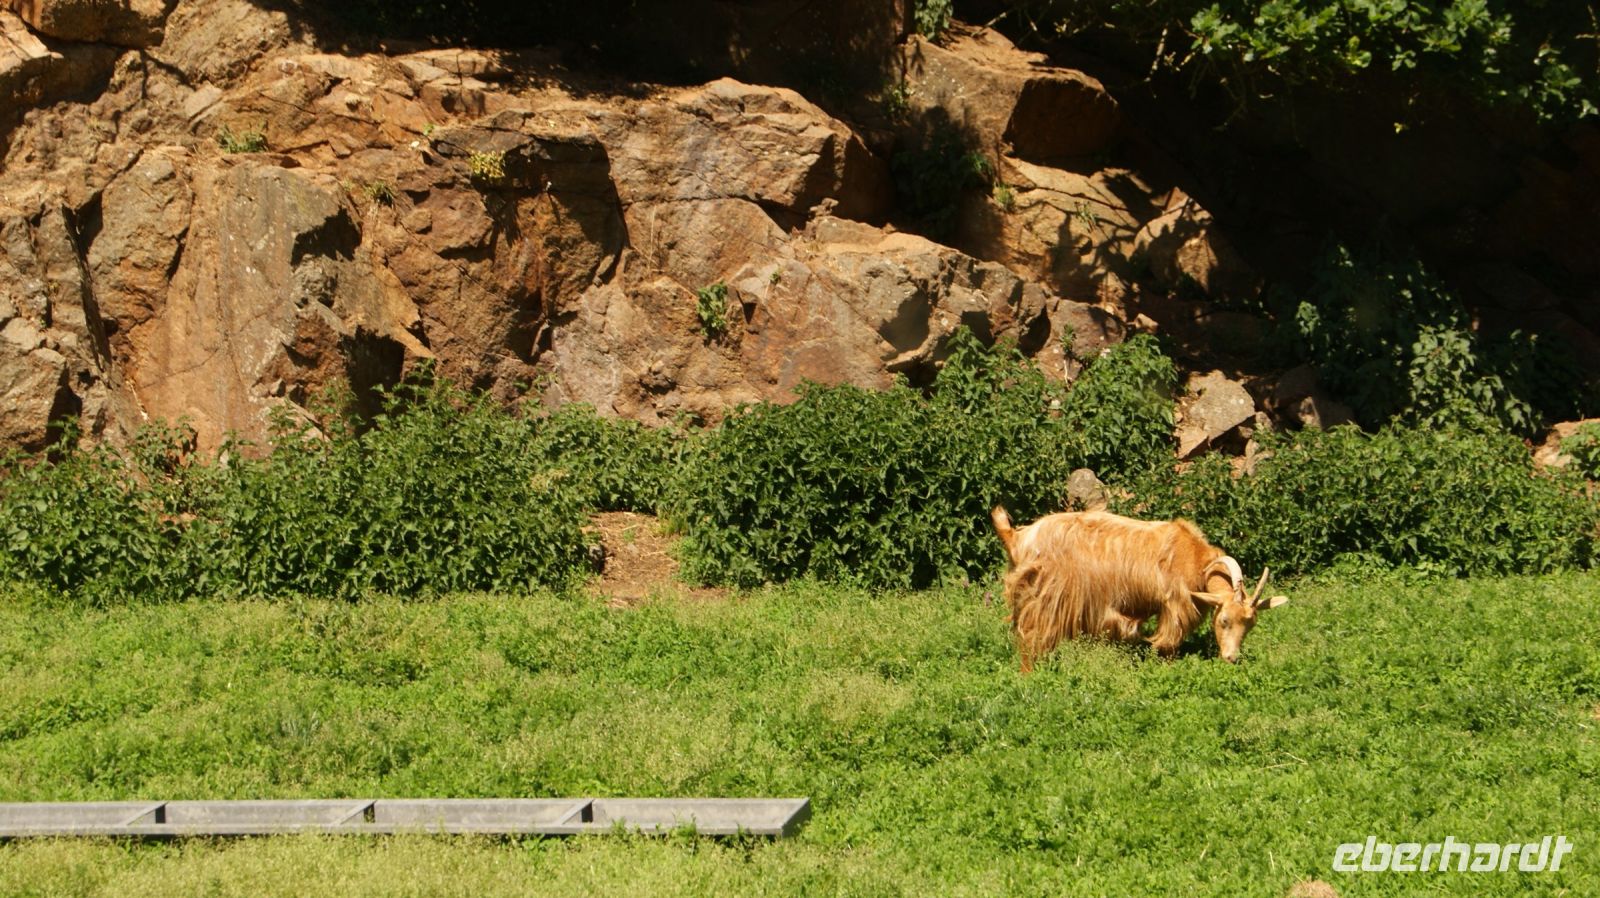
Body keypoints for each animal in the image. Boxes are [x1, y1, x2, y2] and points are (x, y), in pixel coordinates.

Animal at [991, 506, 1286, 671]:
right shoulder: (1175, 605)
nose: (1231, 658)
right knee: (1032, 639)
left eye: (1250, 625)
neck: (1191, 555)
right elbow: (1169, 643)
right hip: (1045, 599)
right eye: (1224, 620)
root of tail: (1017, 537)